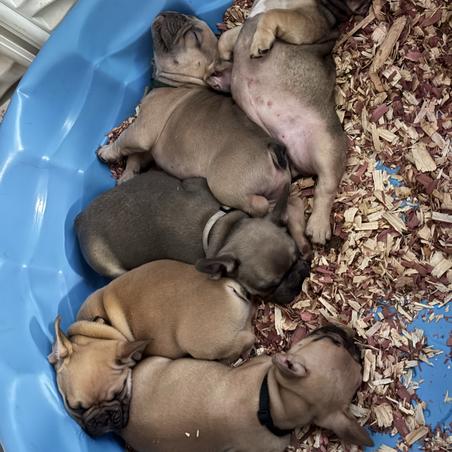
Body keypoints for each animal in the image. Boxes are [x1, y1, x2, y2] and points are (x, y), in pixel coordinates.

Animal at [48, 260, 255, 436]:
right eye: (76, 408)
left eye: (120, 391)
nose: (104, 420)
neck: (98, 332)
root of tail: (227, 286)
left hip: (203, 344)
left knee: (247, 339)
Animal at [75, 170, 310, 304]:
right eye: (267, 287)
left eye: (297, 256)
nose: (298, 275)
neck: (226, 230)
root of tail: (79, 221)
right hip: (106, 264)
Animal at [209, 0, 371, 246]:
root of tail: (293, 161)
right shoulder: (242, 27)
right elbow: (228, 35)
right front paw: (224, 57)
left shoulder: (304, 22)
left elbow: (273, 16)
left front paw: (259, 42)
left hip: (329, 147)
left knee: (326, 187)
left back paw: (318, 227)